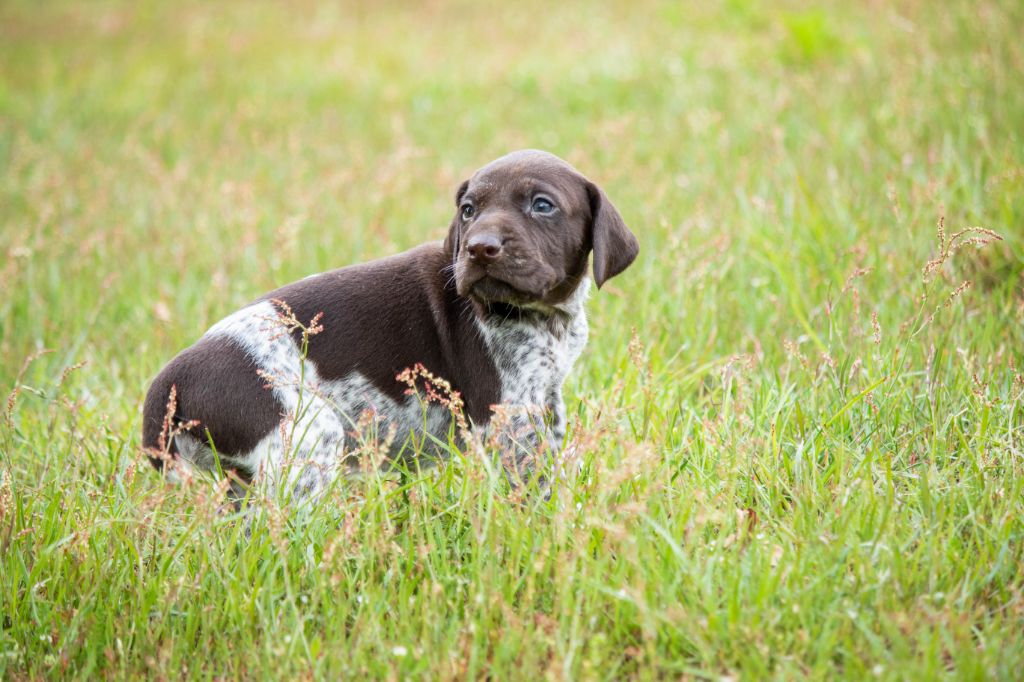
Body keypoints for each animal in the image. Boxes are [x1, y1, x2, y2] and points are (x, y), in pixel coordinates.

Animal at [142, 150, 638, 499]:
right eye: (469, 210)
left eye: (542, 205)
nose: (478, 248)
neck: (546, 315)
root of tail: (168, 382)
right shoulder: (510, 417)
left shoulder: (544, 399)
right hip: (307, 438)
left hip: (244, 478)